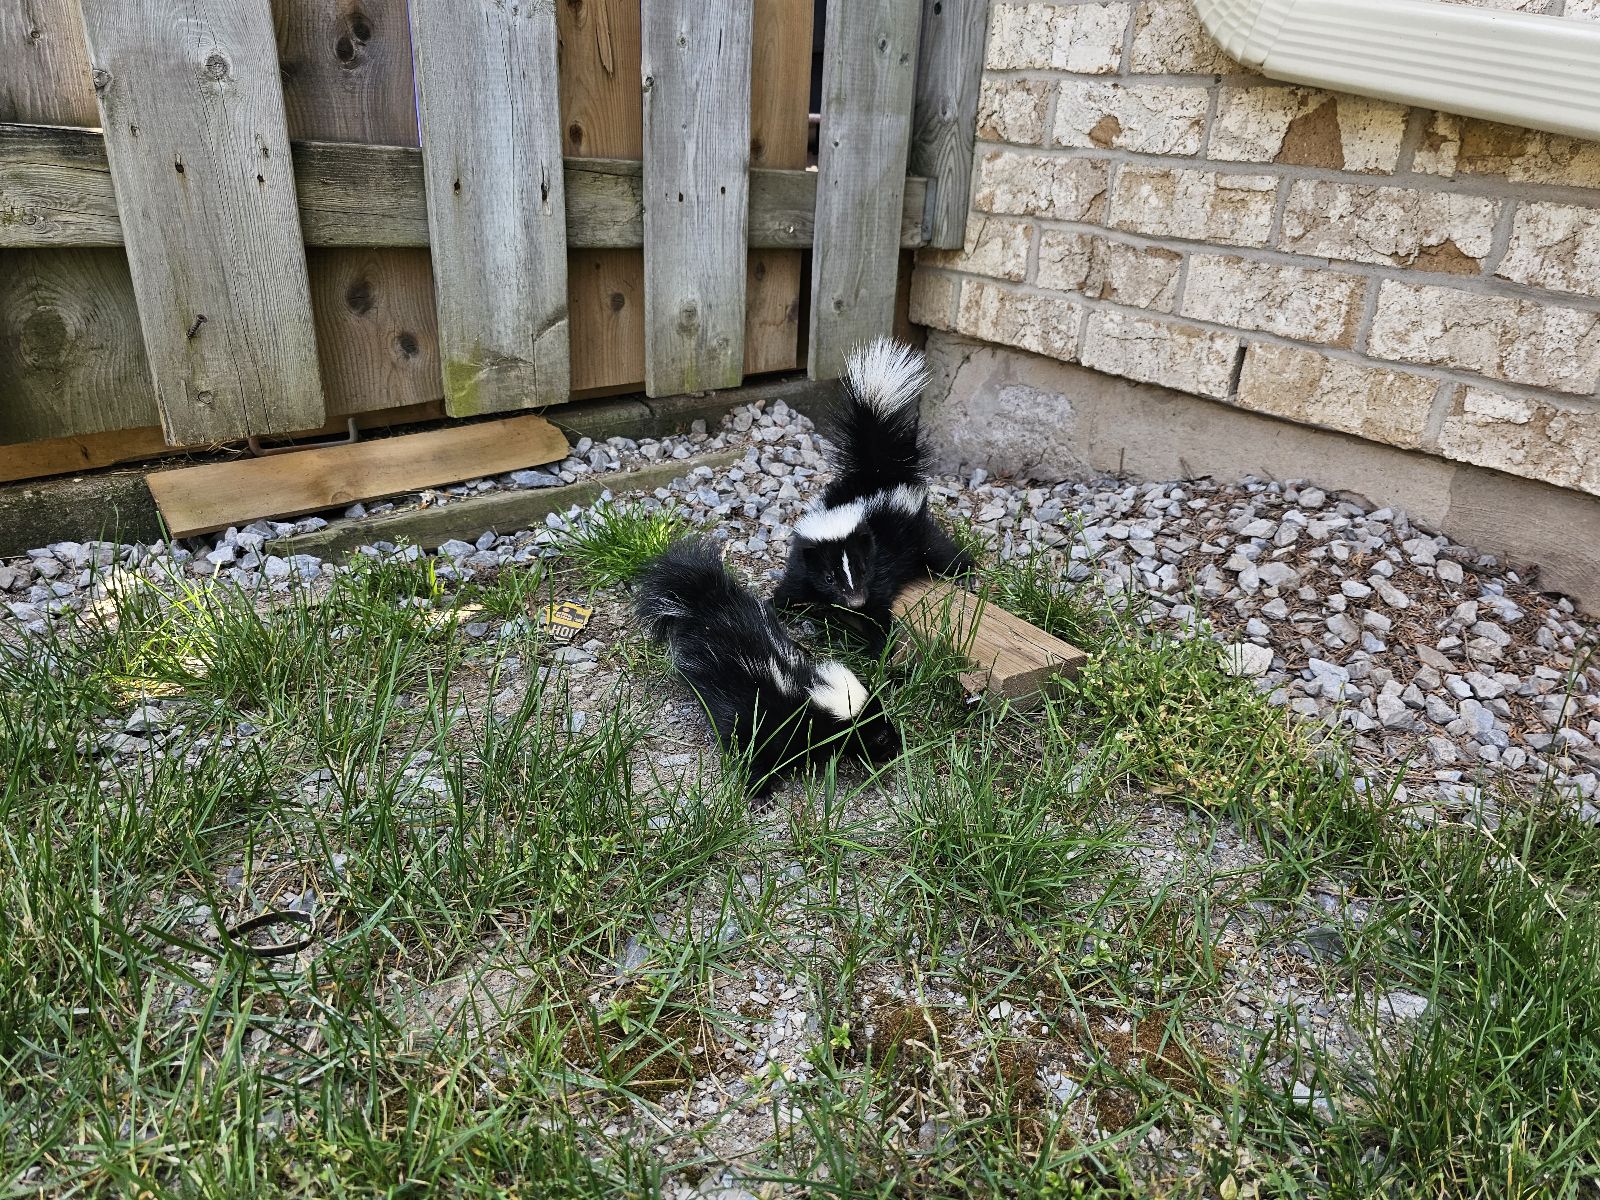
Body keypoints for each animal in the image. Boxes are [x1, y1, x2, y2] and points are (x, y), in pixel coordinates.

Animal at [630, 540, 902, 803]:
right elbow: (753, 753)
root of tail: (709, 602)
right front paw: (760, 794)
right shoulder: (761, 718)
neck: (804, 692)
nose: (897, 748)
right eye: (879, 737)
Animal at [768, 336, 966, 659]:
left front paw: (880, 654)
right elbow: (790, 591)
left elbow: (878, 611)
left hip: (915, 527)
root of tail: (878, 470)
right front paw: (773, 608)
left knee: (941, 552)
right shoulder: (802, 564)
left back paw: (967, 572)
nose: (855, 602)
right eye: (829, 577)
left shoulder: (880, 565)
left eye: (862, 568)